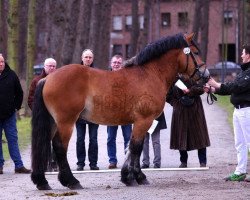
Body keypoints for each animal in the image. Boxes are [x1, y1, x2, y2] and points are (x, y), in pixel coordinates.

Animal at [31, 32, 209, 190]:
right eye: (196, 52)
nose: (206, 76)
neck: (150, 74)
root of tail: (48, 78)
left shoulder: (140, 122)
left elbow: (132, 147)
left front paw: (128, 176)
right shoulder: (144, 120)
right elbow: (136, 147)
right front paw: (136, 177)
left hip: (53, 122)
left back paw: (42, 181)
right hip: (66, 122)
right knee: (60, 147)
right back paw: (71, 181)